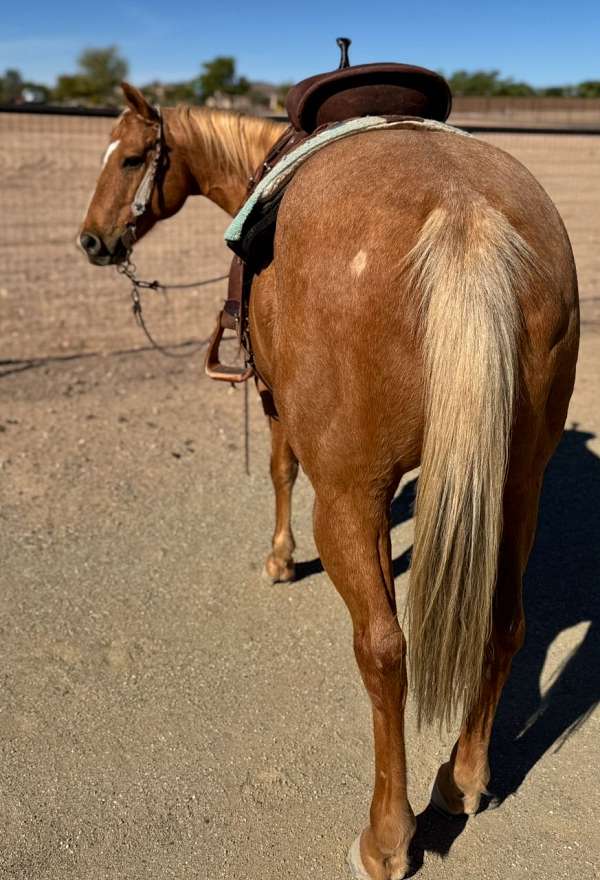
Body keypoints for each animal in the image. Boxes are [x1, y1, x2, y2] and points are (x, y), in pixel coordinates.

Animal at [78, 84, 576, 880]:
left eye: (128, 157)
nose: (92, 241)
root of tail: (465, 212)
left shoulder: (273, 399)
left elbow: (280, 470)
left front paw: (280, 559)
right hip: (516, 486)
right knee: (506, 624)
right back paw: (462, 780)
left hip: (349, 499)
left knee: (385, 651)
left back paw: (387, 837)